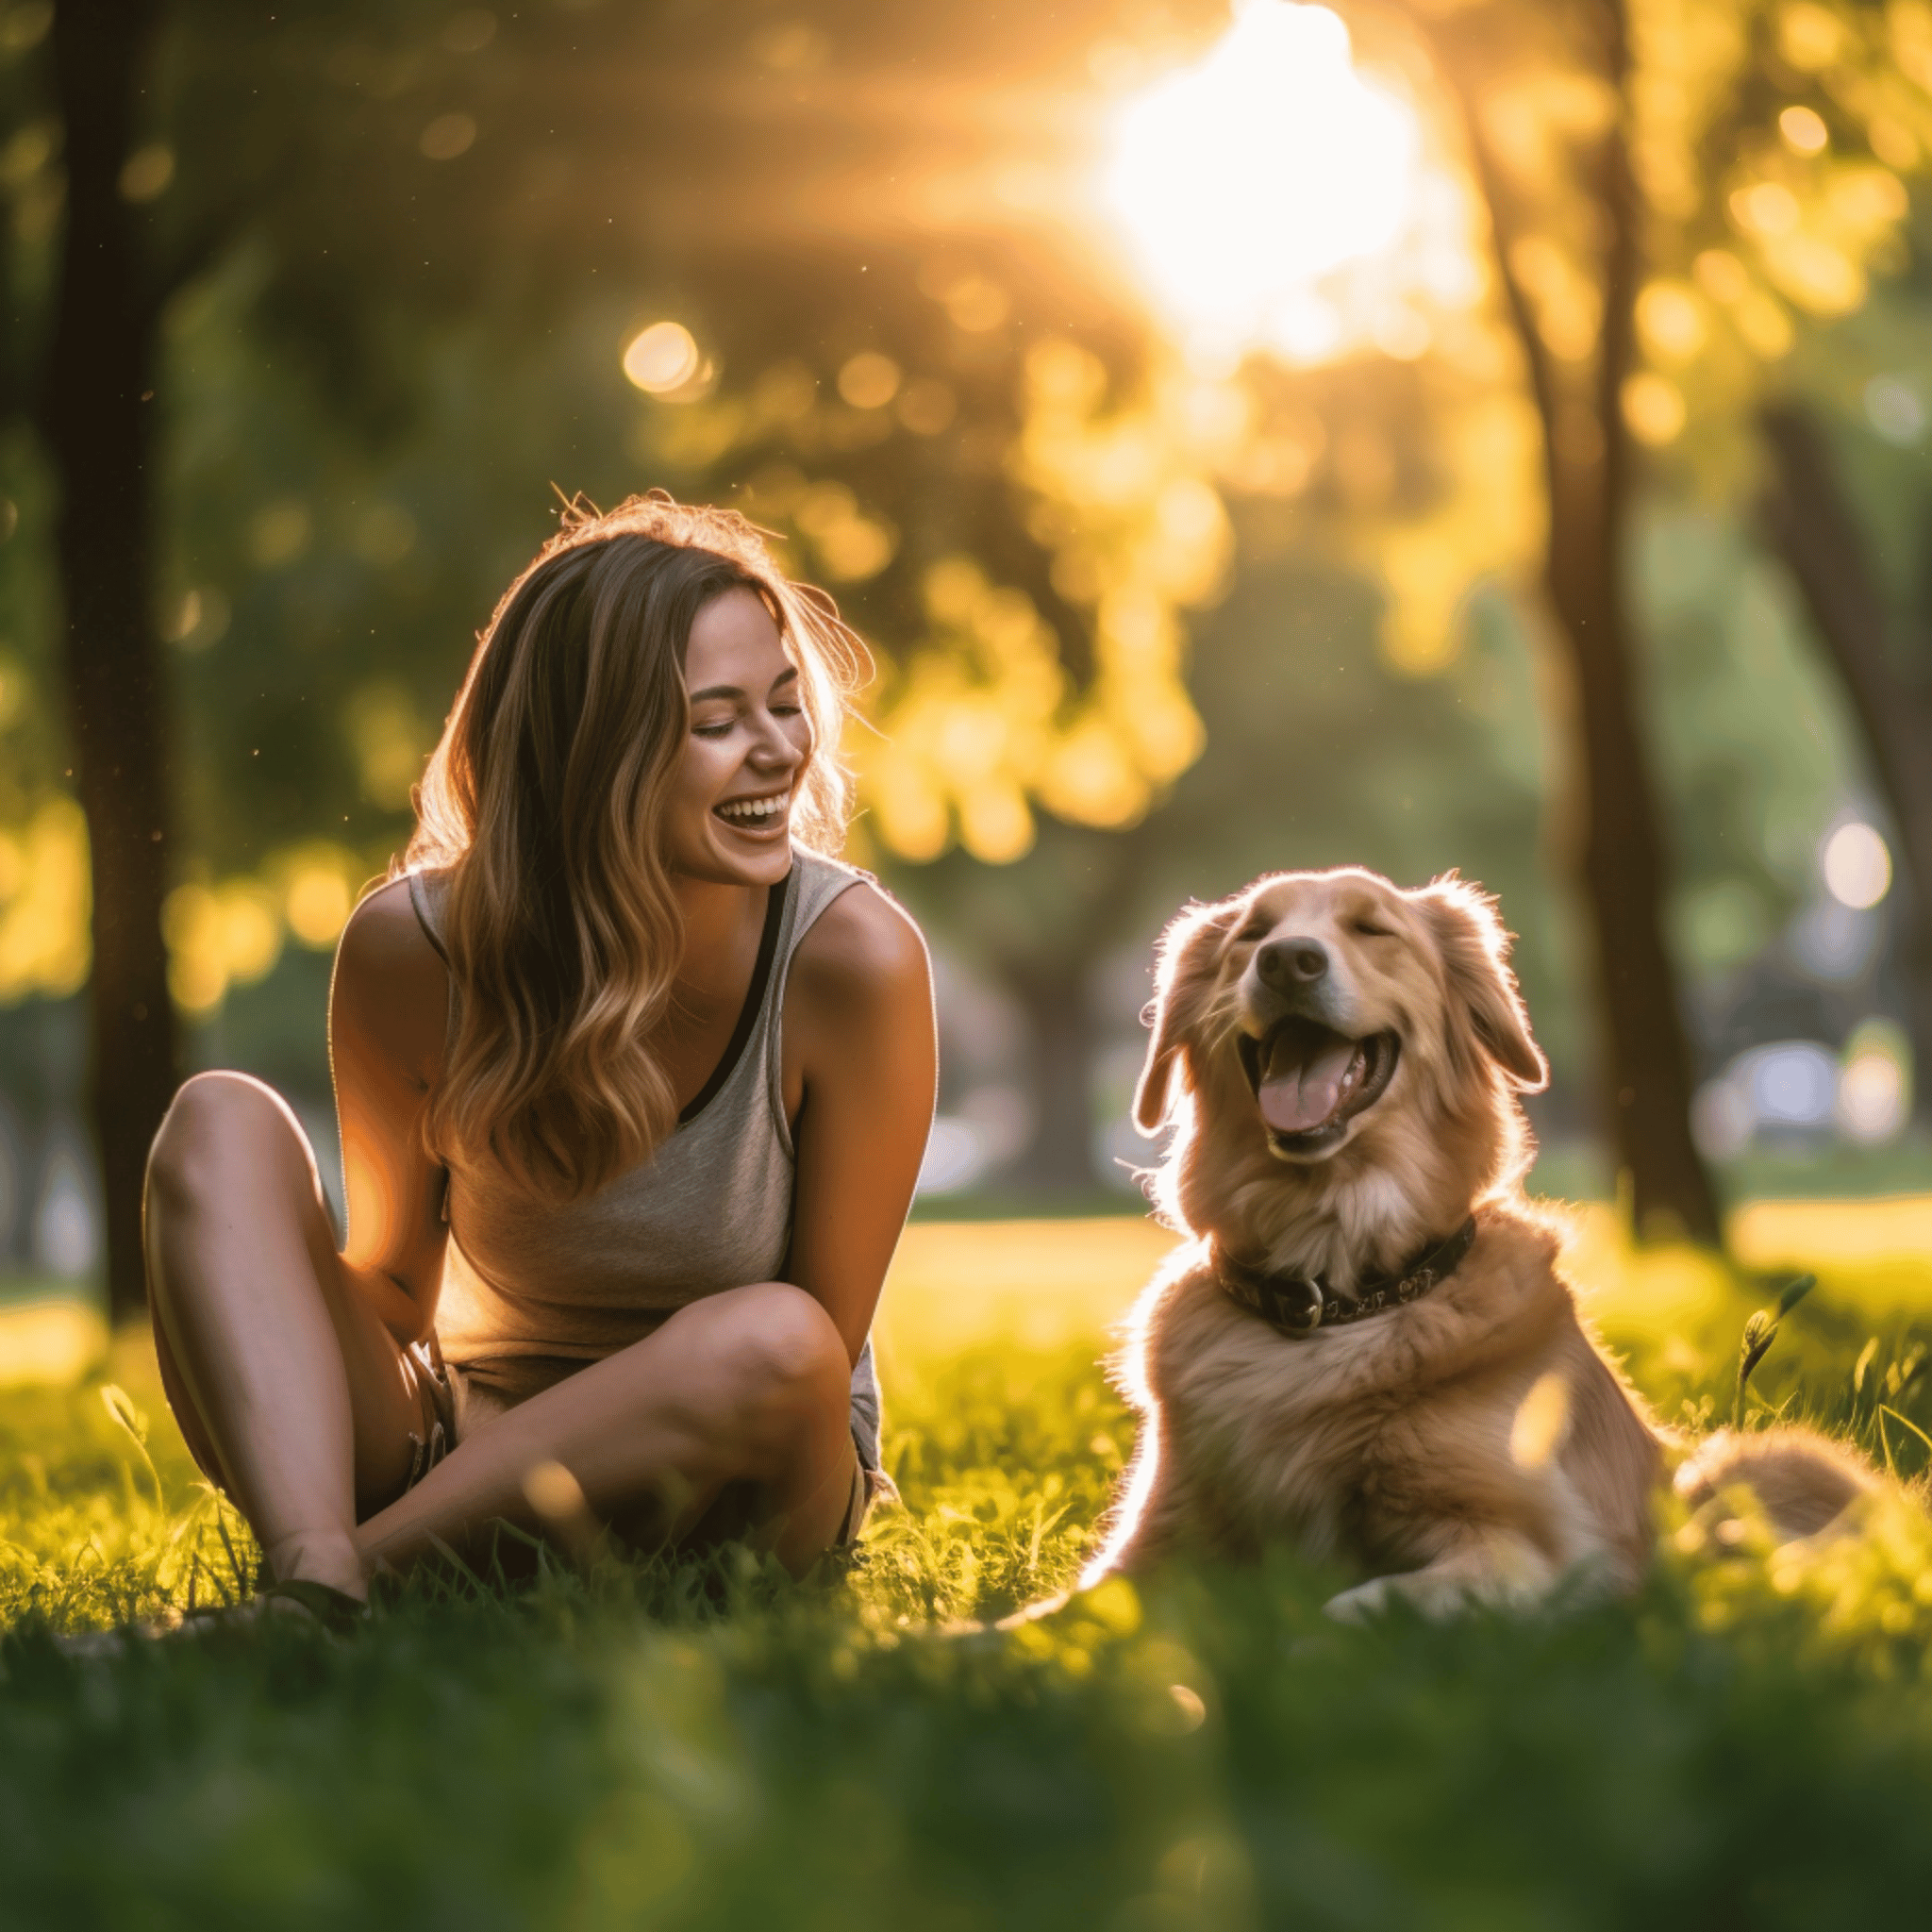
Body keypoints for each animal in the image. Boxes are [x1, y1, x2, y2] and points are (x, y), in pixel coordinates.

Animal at [1081, 873, 1862, 1615]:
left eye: (1372, 929)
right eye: (1251, 936)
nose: (1285, 961)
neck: (1331, 1298)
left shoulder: (1540, 1548)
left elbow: (1353, 1612)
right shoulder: (1148, 1543)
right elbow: (1068, 1613)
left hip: (1767, 1465)